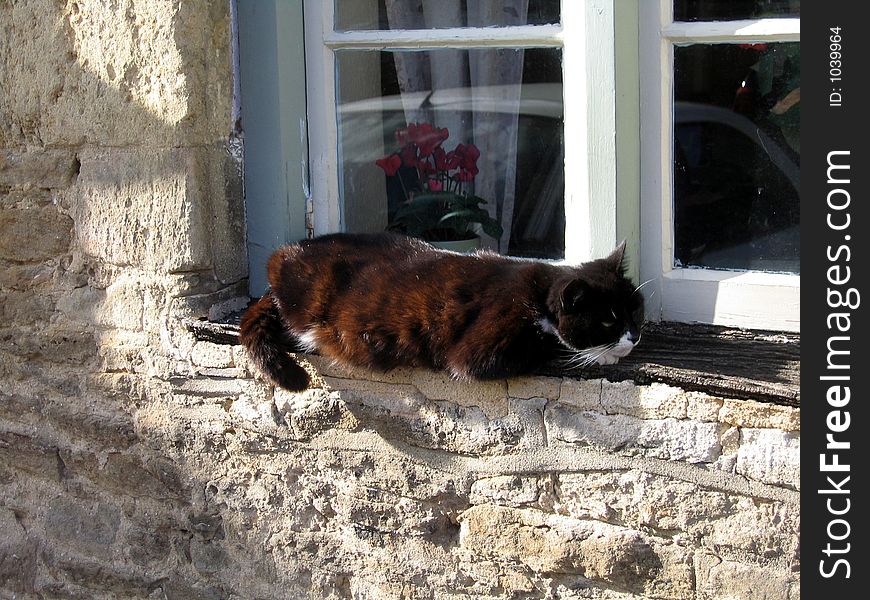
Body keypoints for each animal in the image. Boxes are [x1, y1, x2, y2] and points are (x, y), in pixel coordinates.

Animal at [242, 232, 644, 392]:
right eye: (607, 319)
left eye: (636, 312)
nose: (635, 336)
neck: (539, 291)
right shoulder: (481, 352)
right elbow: (548, 346)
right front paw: (602, 354)